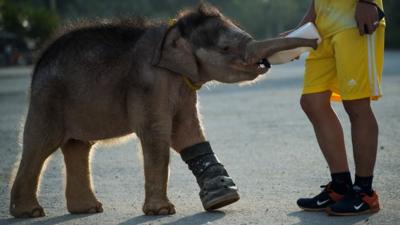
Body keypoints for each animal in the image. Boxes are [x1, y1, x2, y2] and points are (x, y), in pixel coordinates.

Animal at [9, 1, 316, 217]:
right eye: (226, 48)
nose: (315, 41)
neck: (175, 30)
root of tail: (39, 58)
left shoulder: (182, 82)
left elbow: (186, 131)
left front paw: (223, 199)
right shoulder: (150, 81)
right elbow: (158, 133)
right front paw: (163, 211)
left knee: (78, 147)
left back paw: (88, 209)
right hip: (47, 99)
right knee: (40, 145)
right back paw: (30, 212)